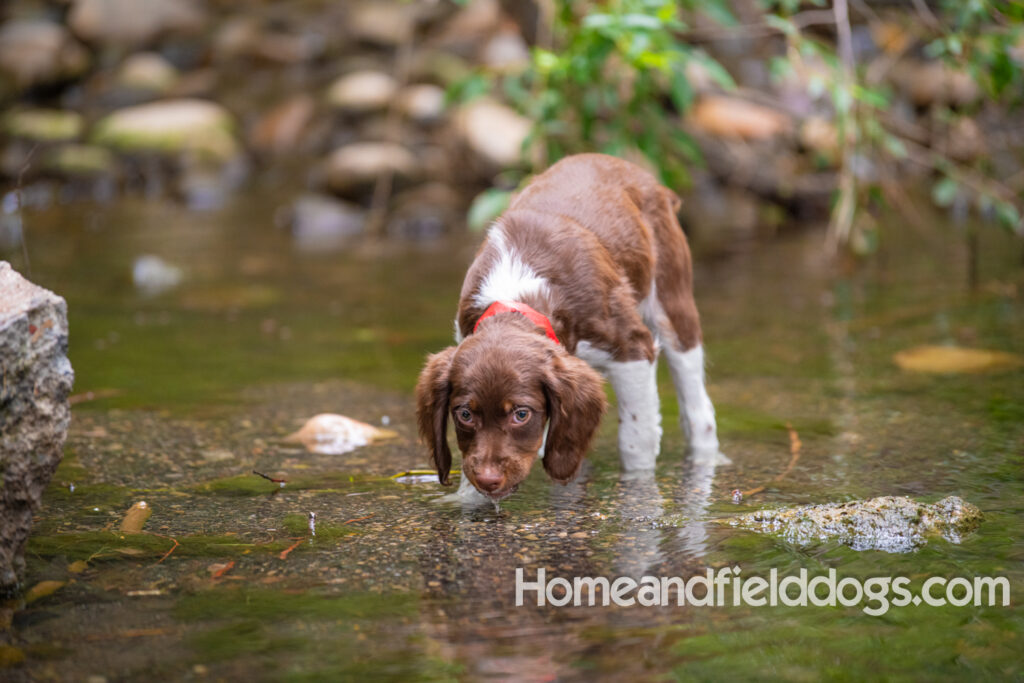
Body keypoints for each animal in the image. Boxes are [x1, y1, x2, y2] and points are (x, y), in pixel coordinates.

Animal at [415, 152, 720, 499]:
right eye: (464, 414)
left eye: (521, 414)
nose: (490, 480)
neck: (518, 297)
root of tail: (630, 168)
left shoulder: (632, 348)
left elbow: (635, 438)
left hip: (672, 302)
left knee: (698, 410)